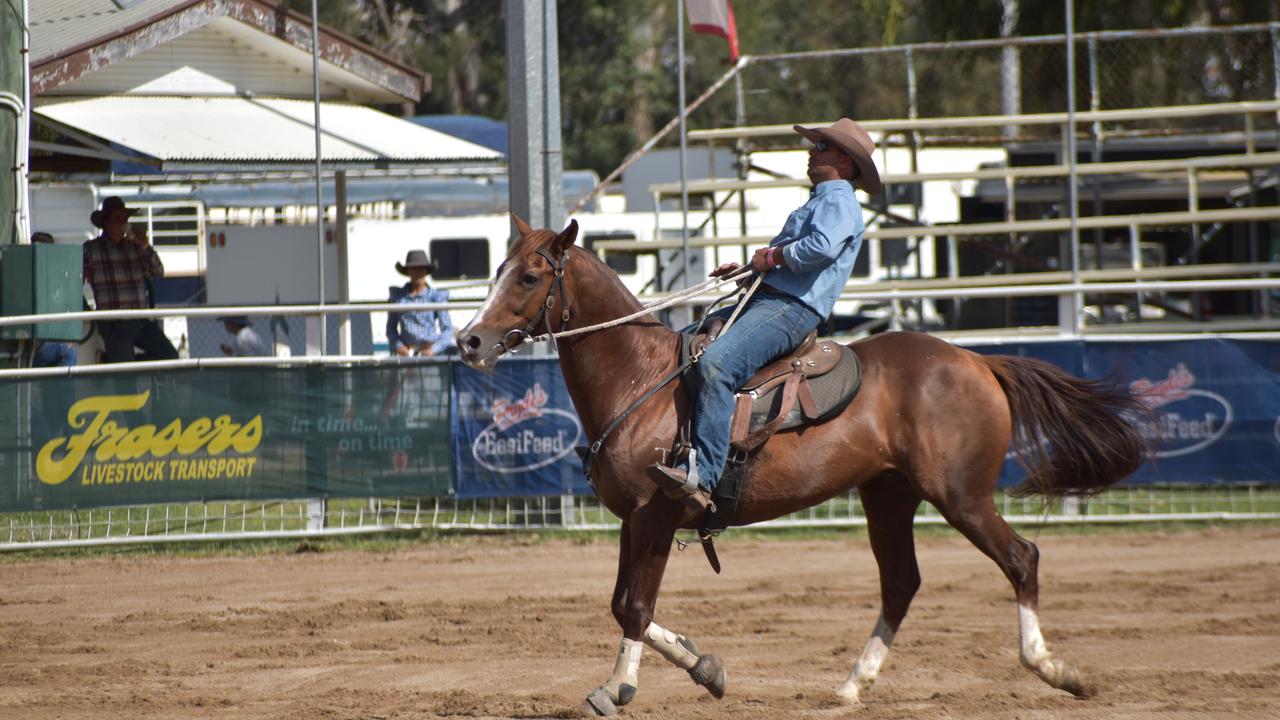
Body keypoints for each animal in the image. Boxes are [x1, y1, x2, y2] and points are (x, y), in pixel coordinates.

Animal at [455, 217, 1146, 712]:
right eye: (498, 270)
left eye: (529, 277)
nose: (469, 340)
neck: (642, 379)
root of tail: (978, 360)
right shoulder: (632, 520)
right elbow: (624, 603)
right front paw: (706, 668)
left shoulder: (655, 515)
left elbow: (635, 607)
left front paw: (618, 689)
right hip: (889, 496)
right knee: (902, 582)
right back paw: (853, 685)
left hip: (961, 496)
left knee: (1021, 558)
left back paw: (1055, 670)